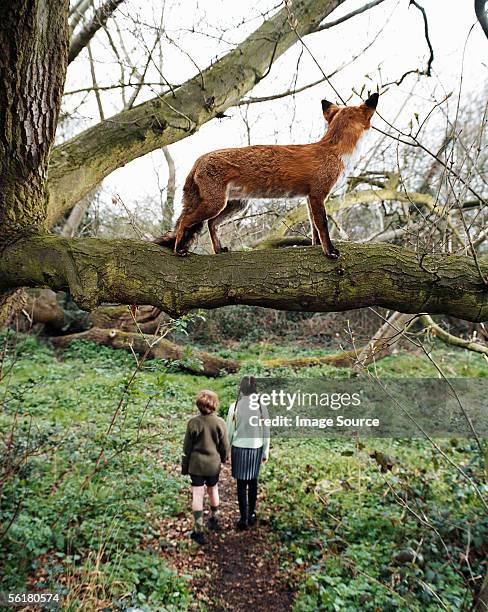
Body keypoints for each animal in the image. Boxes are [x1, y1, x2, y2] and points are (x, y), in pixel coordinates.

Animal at [154, 92, 380, 260]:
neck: (334, 151)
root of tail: (198, 159)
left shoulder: (310, 198)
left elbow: (315, 229)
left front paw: (316, 248)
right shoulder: (318, 195)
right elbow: (323, 226)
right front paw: (329, 252)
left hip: (235, 205)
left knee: (210, 224)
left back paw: (218, 249)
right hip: (215, 204)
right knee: (185, 221)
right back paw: (179, 250)